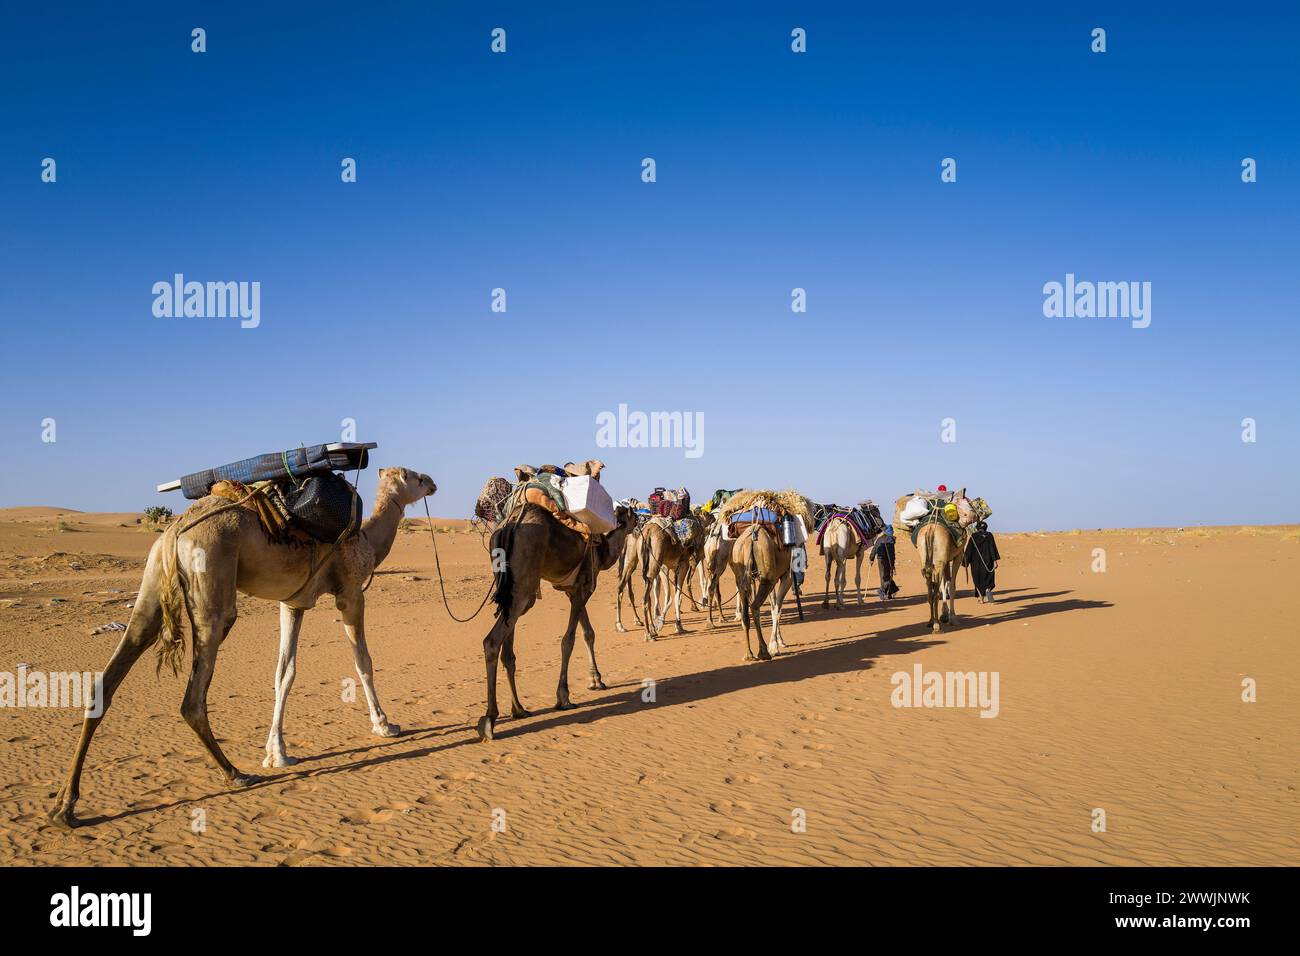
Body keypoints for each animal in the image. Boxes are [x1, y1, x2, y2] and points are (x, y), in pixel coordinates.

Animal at [49, 468, 436, 827]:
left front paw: (277, 753)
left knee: (113, 672)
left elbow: (285, 672)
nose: (432, 482)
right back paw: (235, 773)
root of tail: (175, 532)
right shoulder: (352, 594)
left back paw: (65, 806)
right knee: (193, 697)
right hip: (213, 585)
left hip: (152, 583)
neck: (366, 539)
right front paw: (385, 725)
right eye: (414, 477)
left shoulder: (293, 602)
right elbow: (363, 662)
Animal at [480, 504, 637, 743]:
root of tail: (509, 525)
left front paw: (596, 680)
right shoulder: (584, 587)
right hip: (524, 585)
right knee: (492, 641)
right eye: (630, 514)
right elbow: (568, 640)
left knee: (508, 650)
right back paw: (490, 719)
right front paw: (564, 697)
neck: (602, 550)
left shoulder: (574, 592)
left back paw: (519, 709)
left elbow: (588, 633)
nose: (639, 518)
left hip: (510, 588)